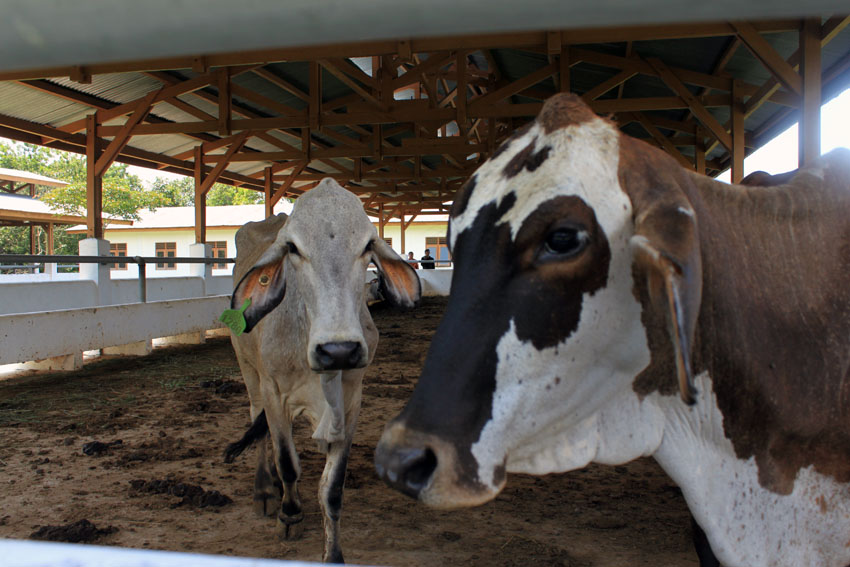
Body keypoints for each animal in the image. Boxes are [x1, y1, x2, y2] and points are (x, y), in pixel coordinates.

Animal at [225, 180, 418, 560]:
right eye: (293, 248)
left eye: (368, 245)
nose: (338, 350)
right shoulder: (274, 394)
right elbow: (287, 462)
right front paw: (290, 514)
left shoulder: (351, 402)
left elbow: (332, 487)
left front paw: (334, 553)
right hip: (249, 371)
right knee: (260, 429)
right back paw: (265, 490)